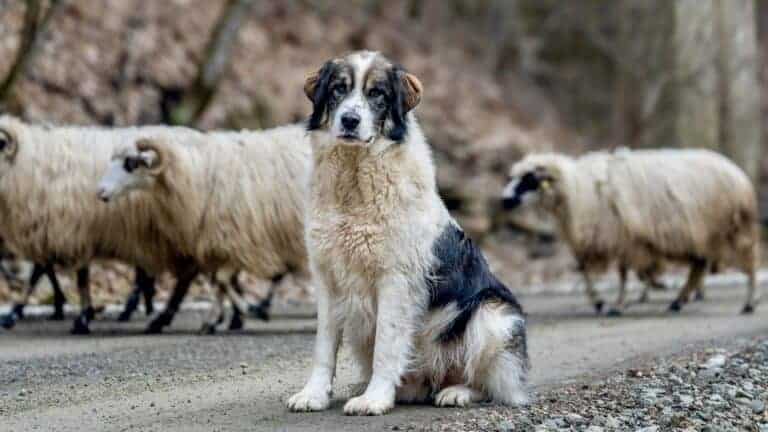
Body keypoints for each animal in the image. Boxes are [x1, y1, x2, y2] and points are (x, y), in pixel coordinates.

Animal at [97, 125, 310, 334]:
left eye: (131, 163)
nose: (100, 191)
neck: (197, 174)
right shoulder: (221, 242)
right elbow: (220, 281)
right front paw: (221, 318)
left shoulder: (234, 239)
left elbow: (222, 279)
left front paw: (243, 310)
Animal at [284, 51, 532, 418]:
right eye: (338, 89)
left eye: (377, 93)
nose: (349, 120)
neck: (354, 179)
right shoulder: (328, 279)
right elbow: (324, 347)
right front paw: (313, 395)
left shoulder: (396, 280)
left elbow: (387, 346)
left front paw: (374, 399)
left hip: (492, 315)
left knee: (491, 384)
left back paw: (456, 392)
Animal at [500, 148, 760, 314]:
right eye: (513, 177)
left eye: (529, 179)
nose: (504, 200)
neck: (578, 190)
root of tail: (738, 173)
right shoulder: (609, 238)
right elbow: (586, 271)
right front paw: (600, 302)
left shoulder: (622, 236)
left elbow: (624, 274)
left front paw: (616, 304)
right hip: (703, 234)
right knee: (698, 265)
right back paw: (678, 301)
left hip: (735, 228)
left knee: (749, 264)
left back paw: (749, 303)